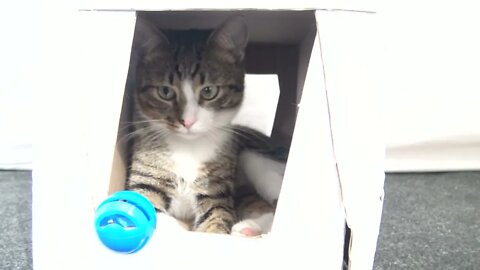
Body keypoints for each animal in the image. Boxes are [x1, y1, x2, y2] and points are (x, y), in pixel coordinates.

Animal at [125, 14, 286, 236]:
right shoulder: (145, 182)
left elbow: (216, 219)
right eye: (165, 92)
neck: (188, 147)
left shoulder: (216, 192)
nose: (187, 121)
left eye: (209, 91)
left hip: (254, 158)